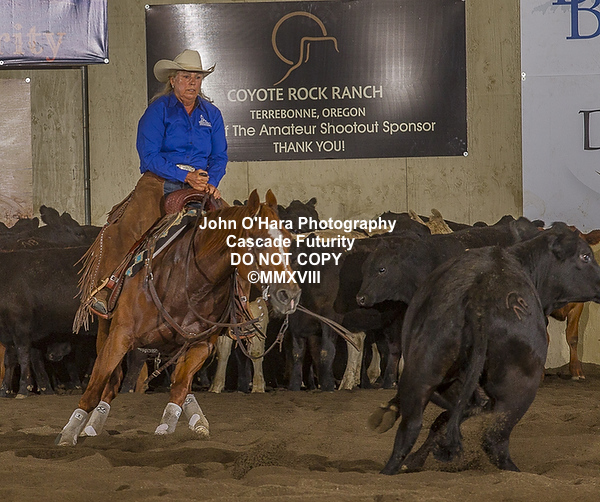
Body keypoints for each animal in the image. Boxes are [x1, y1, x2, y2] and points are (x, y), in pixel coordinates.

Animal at [56, 189, 301, 446]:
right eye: (259, 240)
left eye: (288, 240)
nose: (290, 294)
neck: (187, 282)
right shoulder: (120, 336)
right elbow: (96, 385)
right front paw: (69, 433)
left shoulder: (200, 345)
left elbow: (180, 388)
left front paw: (166, 427)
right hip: (106, 328)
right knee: (112, 381)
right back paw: (92, 424)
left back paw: (198, 422)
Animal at [369, 223, 600, 474]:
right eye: (585, 256)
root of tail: (480, 296)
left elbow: (452, 415)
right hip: (517, 386)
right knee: (492, 439)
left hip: (430, 371)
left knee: (412, 427)